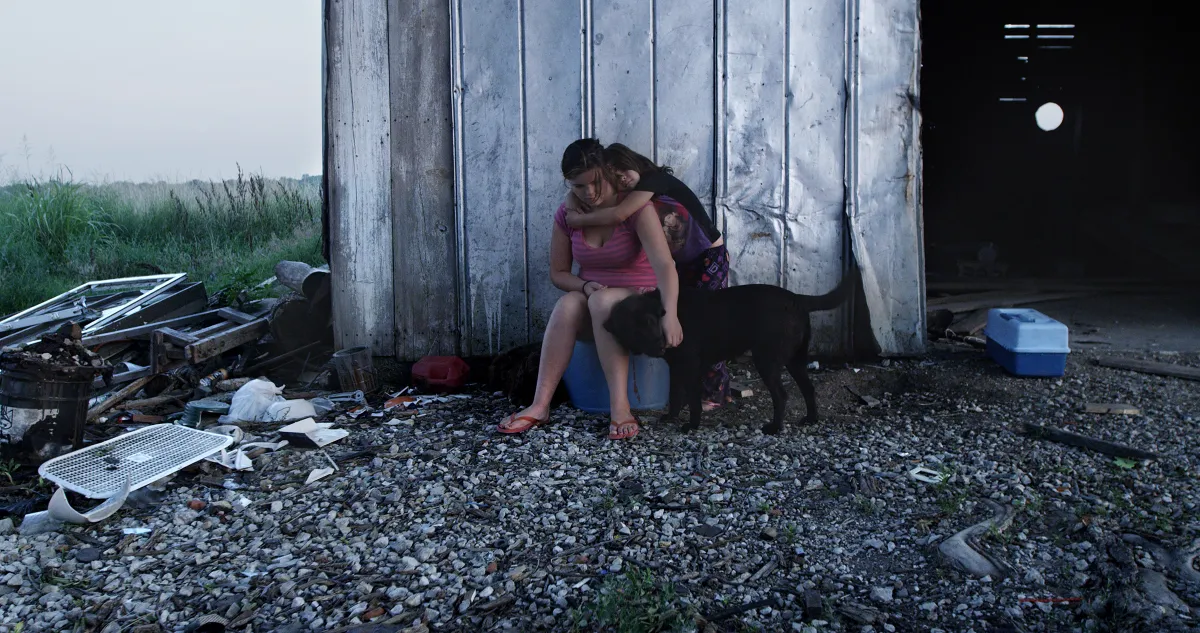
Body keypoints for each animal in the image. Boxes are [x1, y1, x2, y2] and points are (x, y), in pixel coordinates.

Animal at [609, 280, 854, 436]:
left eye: (652, 322)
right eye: (636, 330)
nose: (660, 345)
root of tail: (796, 299)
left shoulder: (690, 367)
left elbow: (693, 400)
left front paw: (692, 425)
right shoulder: (677, 368)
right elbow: (675, 395)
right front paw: (671, 417)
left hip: (766, 359)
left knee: (781, 395)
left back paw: (775, 427)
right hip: (794, 360)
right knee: (809, 389)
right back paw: (811, 419)